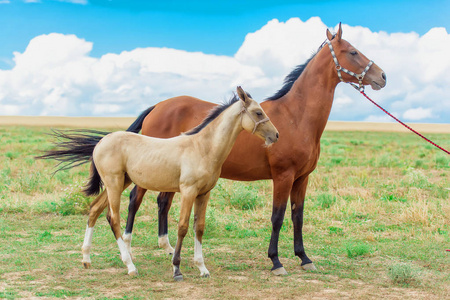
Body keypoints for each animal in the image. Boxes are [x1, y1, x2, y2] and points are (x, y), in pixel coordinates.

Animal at [124, 23, 386, 276]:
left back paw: (167, 247)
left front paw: (304, 258)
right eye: (353, 52)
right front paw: (276, 261)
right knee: (135, 200)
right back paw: (129, 251)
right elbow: (278, 217)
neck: (296, 115)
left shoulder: (302, 178)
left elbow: (298, 216)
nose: (382, 76)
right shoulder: (283, 176)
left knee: (162, 202)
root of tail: (157, 106)